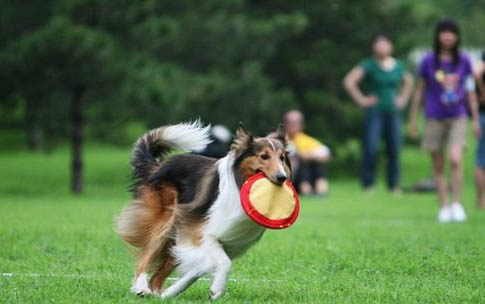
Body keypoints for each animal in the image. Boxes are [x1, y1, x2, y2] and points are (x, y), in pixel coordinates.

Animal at [116, 120, 292, 300]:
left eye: (282, 158)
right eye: (264, 156)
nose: (282, 177)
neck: (238, 183)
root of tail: (157, 166)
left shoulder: (217, 241)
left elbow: (197, 270)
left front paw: (172, 292)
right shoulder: (202, 232)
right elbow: (224, 263)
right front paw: (217, 289)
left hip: (176, 233)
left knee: (157, 277)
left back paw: (158, 295)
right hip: (165, 222)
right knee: (144, 257)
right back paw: (141, 287)